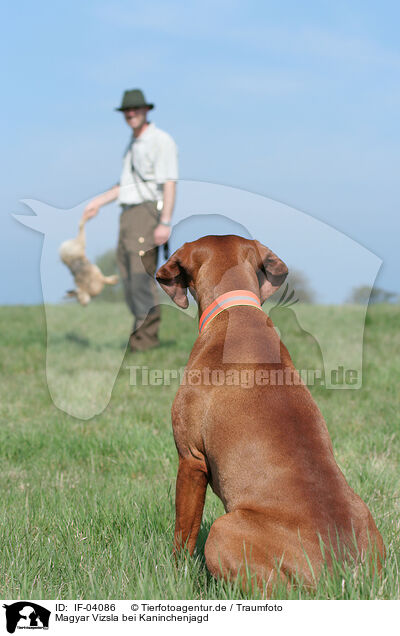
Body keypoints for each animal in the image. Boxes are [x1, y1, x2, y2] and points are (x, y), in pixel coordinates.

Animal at [156, 235, 384, 592]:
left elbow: (184, 533)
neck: (235, 309)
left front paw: (174, 575)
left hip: (224, 531)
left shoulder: (190, 460)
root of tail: (340, 573)